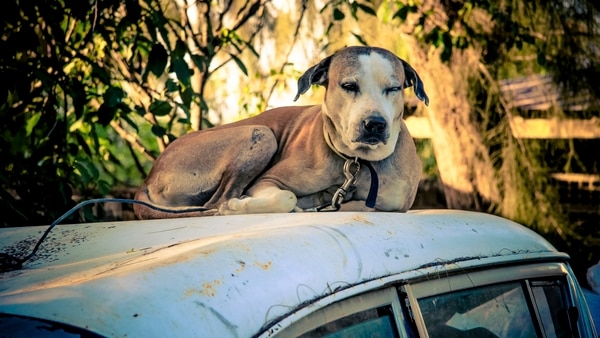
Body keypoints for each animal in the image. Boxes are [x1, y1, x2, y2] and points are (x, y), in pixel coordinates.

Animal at [134, 45, 428, 219]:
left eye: (394, 88)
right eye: (349, 86)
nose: (375, 124)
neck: (356, 164)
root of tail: (147, 179)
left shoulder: (391, 206)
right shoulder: (268, 181)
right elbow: (287, 197)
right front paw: (239, 205)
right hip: (260, 134)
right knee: (215, 203)